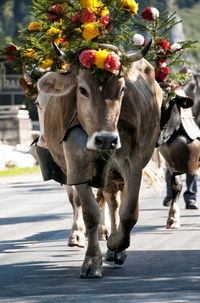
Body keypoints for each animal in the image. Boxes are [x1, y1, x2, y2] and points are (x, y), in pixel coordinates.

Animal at [37, 44, 162, 280]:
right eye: (83, 90)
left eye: (122, 90)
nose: (106, 139)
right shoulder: (77, 167)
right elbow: (91, 213)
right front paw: (91, 261)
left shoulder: (133, 164)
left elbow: (129, 212)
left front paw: (116, 244)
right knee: (109, 201)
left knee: (115, 203)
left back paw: (115, 248)